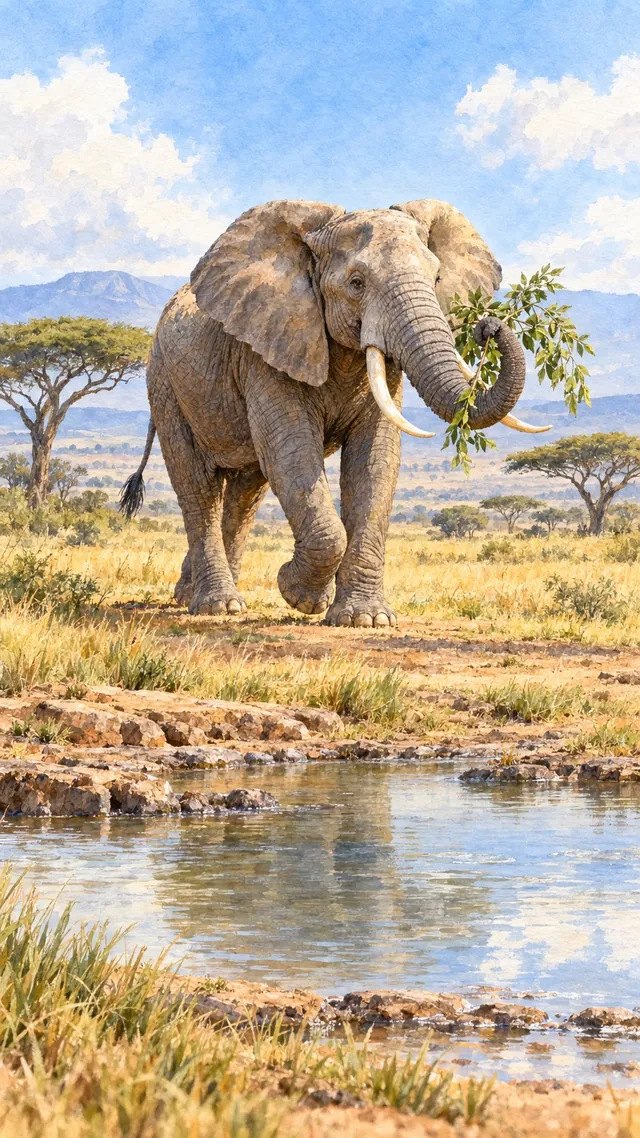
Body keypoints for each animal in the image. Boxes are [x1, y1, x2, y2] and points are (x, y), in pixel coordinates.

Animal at [121, 198, 539, 627]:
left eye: (436, 277)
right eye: (356, 283)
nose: (489, 327)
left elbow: (375, 458)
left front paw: (366, 619)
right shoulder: (268, 348)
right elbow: (292, 452)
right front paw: (300, 593)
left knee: (245, 492)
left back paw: (198, 596)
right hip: (166, 384)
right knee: (198, 484)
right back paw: (217, 606)